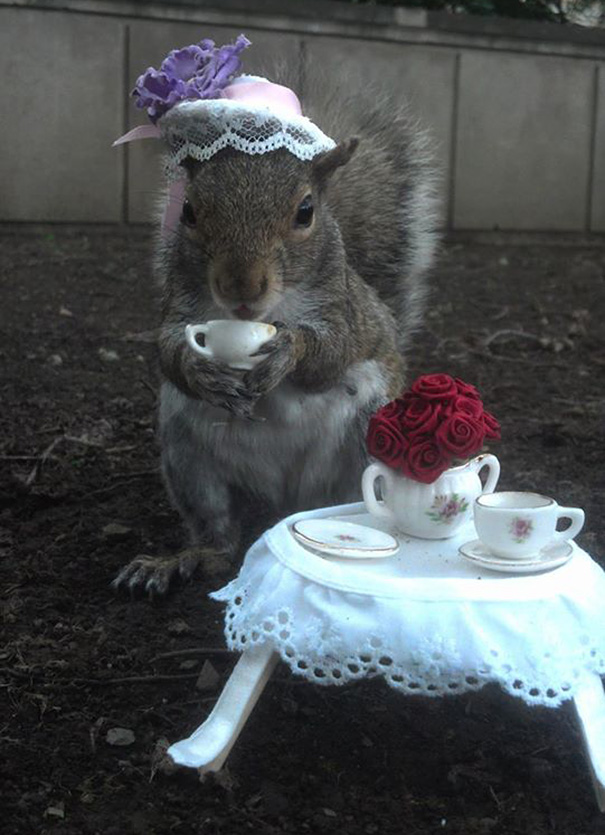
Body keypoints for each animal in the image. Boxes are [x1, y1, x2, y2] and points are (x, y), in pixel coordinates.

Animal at [114, 70, 440, 595]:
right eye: (188, 211)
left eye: (305, 211)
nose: (241, 287)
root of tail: (283, 500)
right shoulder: (178, 306)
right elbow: (167, 352)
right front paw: (201, 372)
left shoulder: (342, 310)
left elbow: (329, 354)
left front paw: (288, 350)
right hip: (188, 455)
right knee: (219, 536)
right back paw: (184, 559)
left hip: (366, 434)